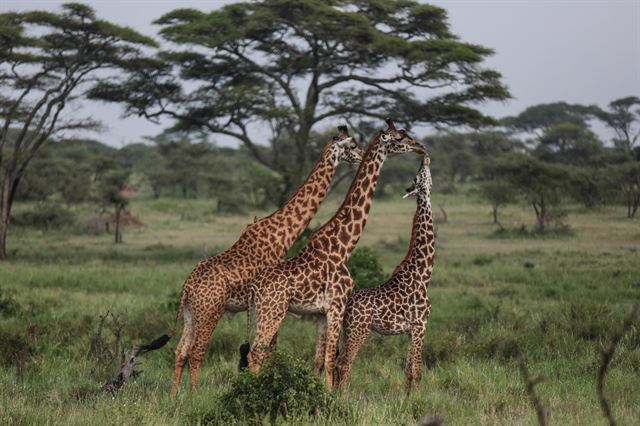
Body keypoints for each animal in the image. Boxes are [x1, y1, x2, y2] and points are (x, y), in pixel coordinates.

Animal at [170, 127, 362, 396]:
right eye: (352, 146)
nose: (362, 155)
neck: (283, 233)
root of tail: (187, 288)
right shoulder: (274, 304)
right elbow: (269, 351)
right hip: (210, 311)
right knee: (196, 352)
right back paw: (194, 396)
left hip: (191, 313)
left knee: (180, 350)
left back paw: (174, 396)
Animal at [248, 118, 428, 388]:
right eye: (399, 137)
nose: (420, 147)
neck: (344, 245)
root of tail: (255, 287)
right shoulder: (337, 305)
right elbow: (331, 362)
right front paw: (331, 398)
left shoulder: (321, 313)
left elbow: (319, 361)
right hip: (274, 311)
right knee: (256, 353)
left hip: (263, 312)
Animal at [332, 154, 438, 396]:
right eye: (418, 176)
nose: (425, 158)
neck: (423, 273)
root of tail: (346, 303)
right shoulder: (421, 324)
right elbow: (418, 370)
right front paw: (420, 400)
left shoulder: (411, 330)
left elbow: (408, 369)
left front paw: (407, 399)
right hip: (359, 329)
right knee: (344, 363)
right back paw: (343, 398)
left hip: (346, 330)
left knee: (336, 363)